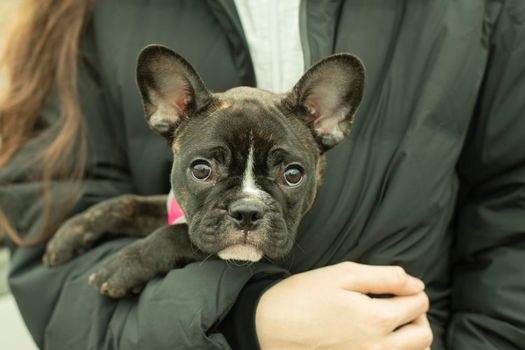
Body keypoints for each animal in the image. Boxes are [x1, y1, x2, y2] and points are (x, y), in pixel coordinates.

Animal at [42, 45, 364, 298]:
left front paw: (124, 265)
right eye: (201, 170)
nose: (247, 212)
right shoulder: (175, 206)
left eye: (293, 175)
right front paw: (71, 232)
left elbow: (173, 235)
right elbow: (126, 203)